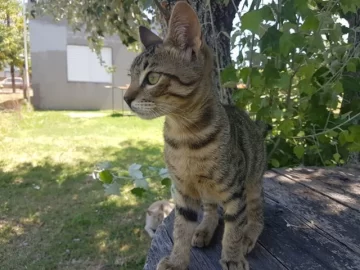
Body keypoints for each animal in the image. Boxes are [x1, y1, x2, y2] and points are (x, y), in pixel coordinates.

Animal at [124, 2, 268, 270]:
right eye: (130, 78)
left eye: (152, 78)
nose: (125, 98)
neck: (185, 138)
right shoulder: (182, 191)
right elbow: (181, 229)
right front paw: (176, 260)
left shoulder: (235, 191)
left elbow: (233, 229)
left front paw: (233, 257)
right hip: (208, 193)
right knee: (211, 210)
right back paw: (204, 229)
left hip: (253, 182)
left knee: (256, 213)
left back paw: (249, 235)